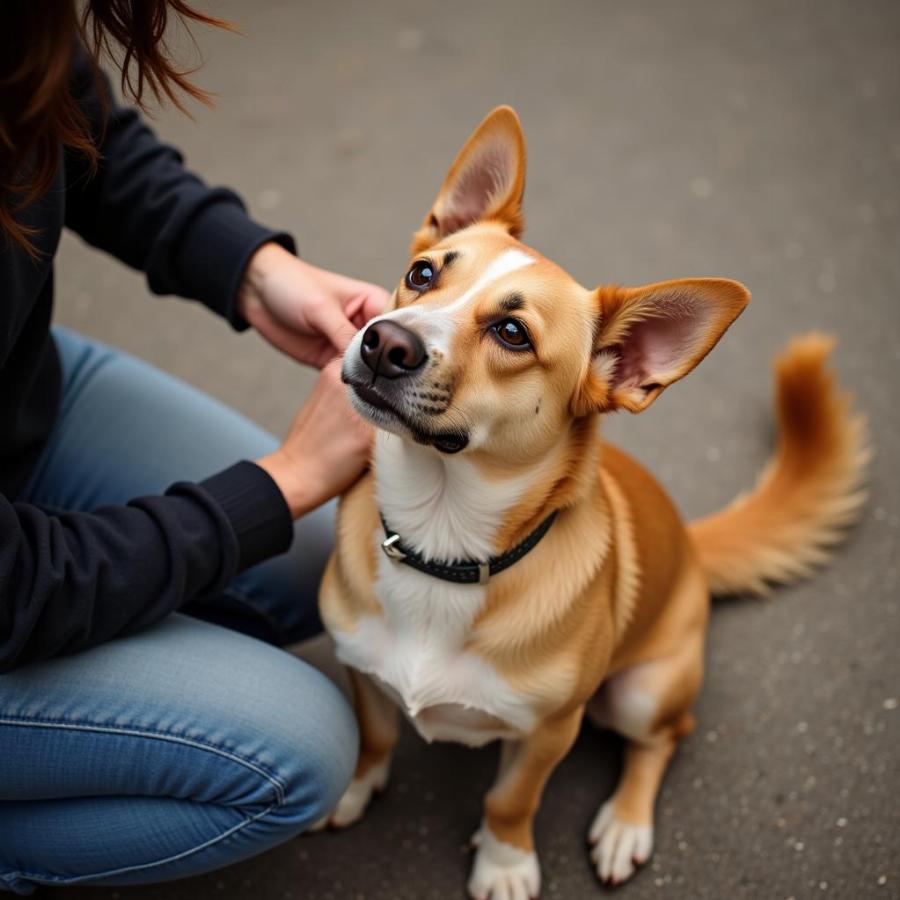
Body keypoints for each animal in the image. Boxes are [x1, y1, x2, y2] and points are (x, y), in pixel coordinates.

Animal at [312, 103, 868, 892]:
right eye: (422, 275)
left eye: (512, 332)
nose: (382, 341)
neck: (442, 537)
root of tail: (691, 541)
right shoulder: (361, 669)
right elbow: (374, 736)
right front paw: (355, 788)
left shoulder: (551, 730)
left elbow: (513, 798)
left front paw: (504, 862)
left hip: (641, 694)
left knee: (664, 739)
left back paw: (625, 824)